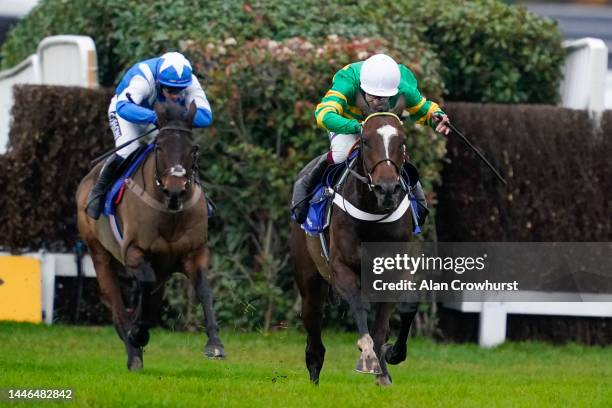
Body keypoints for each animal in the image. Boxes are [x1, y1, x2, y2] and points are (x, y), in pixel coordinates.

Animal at [76, 101, 225, 370]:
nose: (175, 190)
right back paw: (133, 351)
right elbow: (143, 287)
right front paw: (137, 334)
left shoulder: (194, 253)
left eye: (193, 149)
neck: (170, 212)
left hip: (162, 269)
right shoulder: (134, 252)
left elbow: (204, 290)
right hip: (99, 254)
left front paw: (215, 344)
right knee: (118, 308)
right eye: (159, 146)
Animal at [290, 95, 416, 386]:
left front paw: (389, 358)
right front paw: (368, 356)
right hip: (309, 280)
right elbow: (359, 304)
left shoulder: (395, 268)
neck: (374, 214)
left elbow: (403, 310)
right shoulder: (341, 267)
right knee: (314, 335)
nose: (387, 189)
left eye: (402, 140)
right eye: (366, 139)